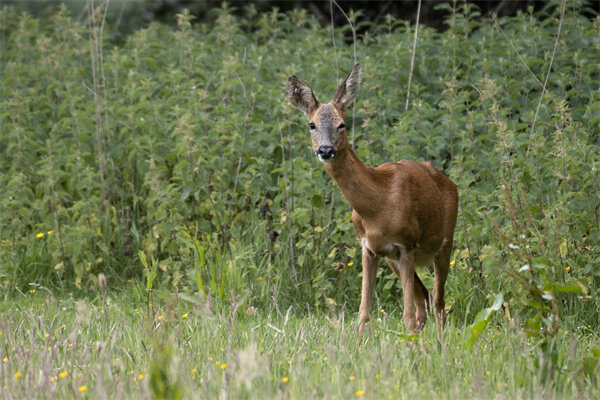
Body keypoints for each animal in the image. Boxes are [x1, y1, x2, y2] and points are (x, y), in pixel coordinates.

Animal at [288, 64, 458, 340]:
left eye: (342, 124)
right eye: (311, 124)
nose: (325, 150)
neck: (378, 205)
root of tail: (449, 182)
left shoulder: (406, 243)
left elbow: (406, 315)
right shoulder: (369, 247)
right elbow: (364, 312)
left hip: (444, 244)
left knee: (438, 302)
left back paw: (439, 344)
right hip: (393, 260)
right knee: (424, 298)